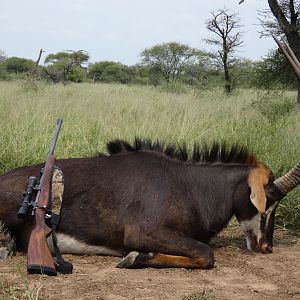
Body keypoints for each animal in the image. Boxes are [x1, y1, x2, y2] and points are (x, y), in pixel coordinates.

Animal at [0, 138, 298, 270]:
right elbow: (206, 254)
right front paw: (135, 257)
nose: (267, 246)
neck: (191, 185)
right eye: (269, 200)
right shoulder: (141, 233)